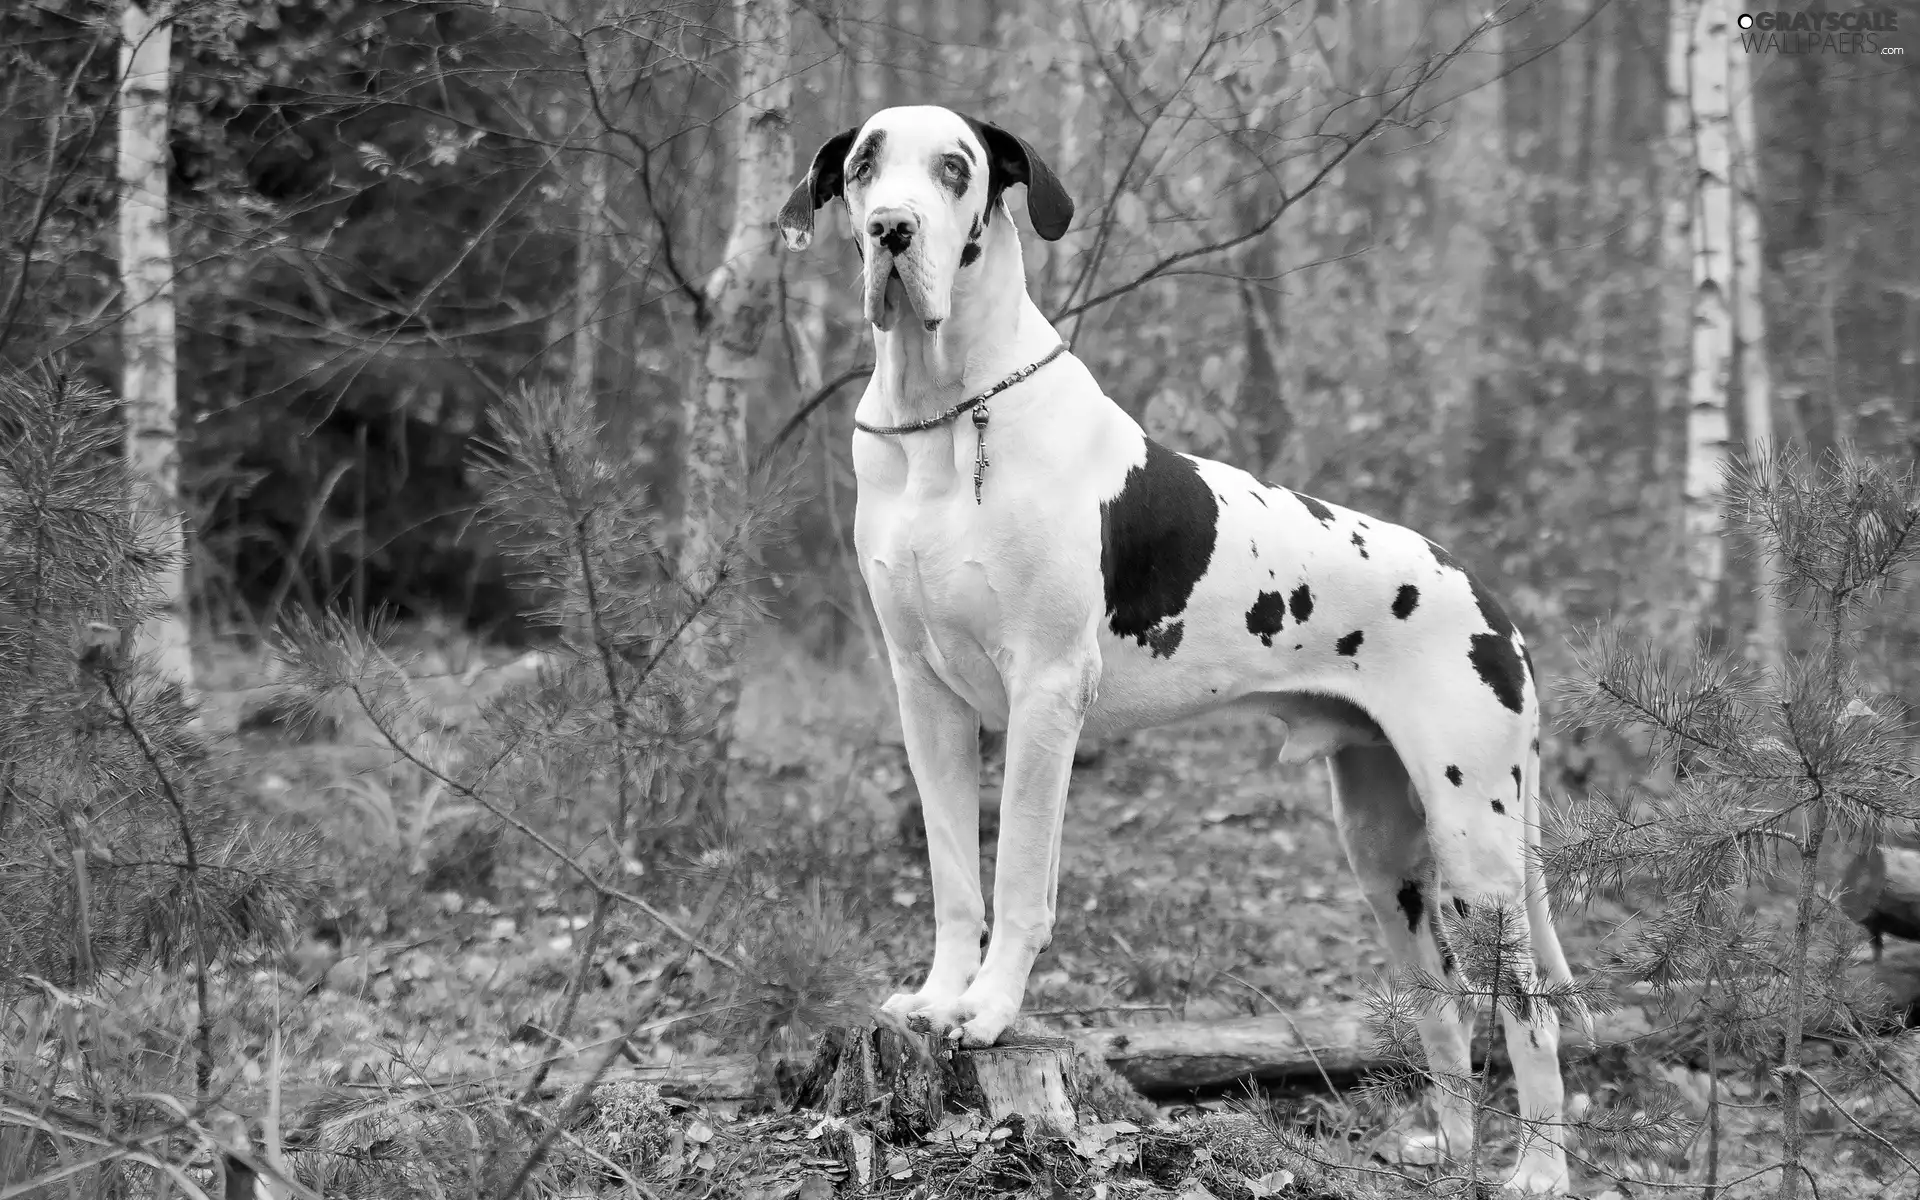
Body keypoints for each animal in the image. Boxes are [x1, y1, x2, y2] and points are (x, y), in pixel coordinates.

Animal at [775, 105, 1574, 1190]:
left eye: (955, 168)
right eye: (864, 165)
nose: (890, 231)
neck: (947, 415)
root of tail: (1493, 601)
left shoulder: (1045, 695)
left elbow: (1017, 879)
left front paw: (991, 1011)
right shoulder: (924, 696)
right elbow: (951, 875)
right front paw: (941, 998)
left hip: (1479, 842)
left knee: (1528, 1008)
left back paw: (1538, 1168)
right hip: (1385, 852)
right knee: (1443, 994)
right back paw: (1447, 1150)